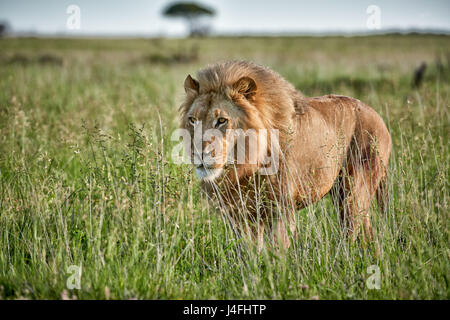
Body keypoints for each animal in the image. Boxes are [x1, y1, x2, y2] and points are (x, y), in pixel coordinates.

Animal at [179, 60, 390, 250]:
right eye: (193, 120)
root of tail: (377, 116)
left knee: (351, 229)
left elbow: (276, 250)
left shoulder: (282, 208)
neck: (244, 166)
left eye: (222, 120)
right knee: (367, 231)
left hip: (355, 189)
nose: (198, 154)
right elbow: (247, 252)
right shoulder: (239, 213)